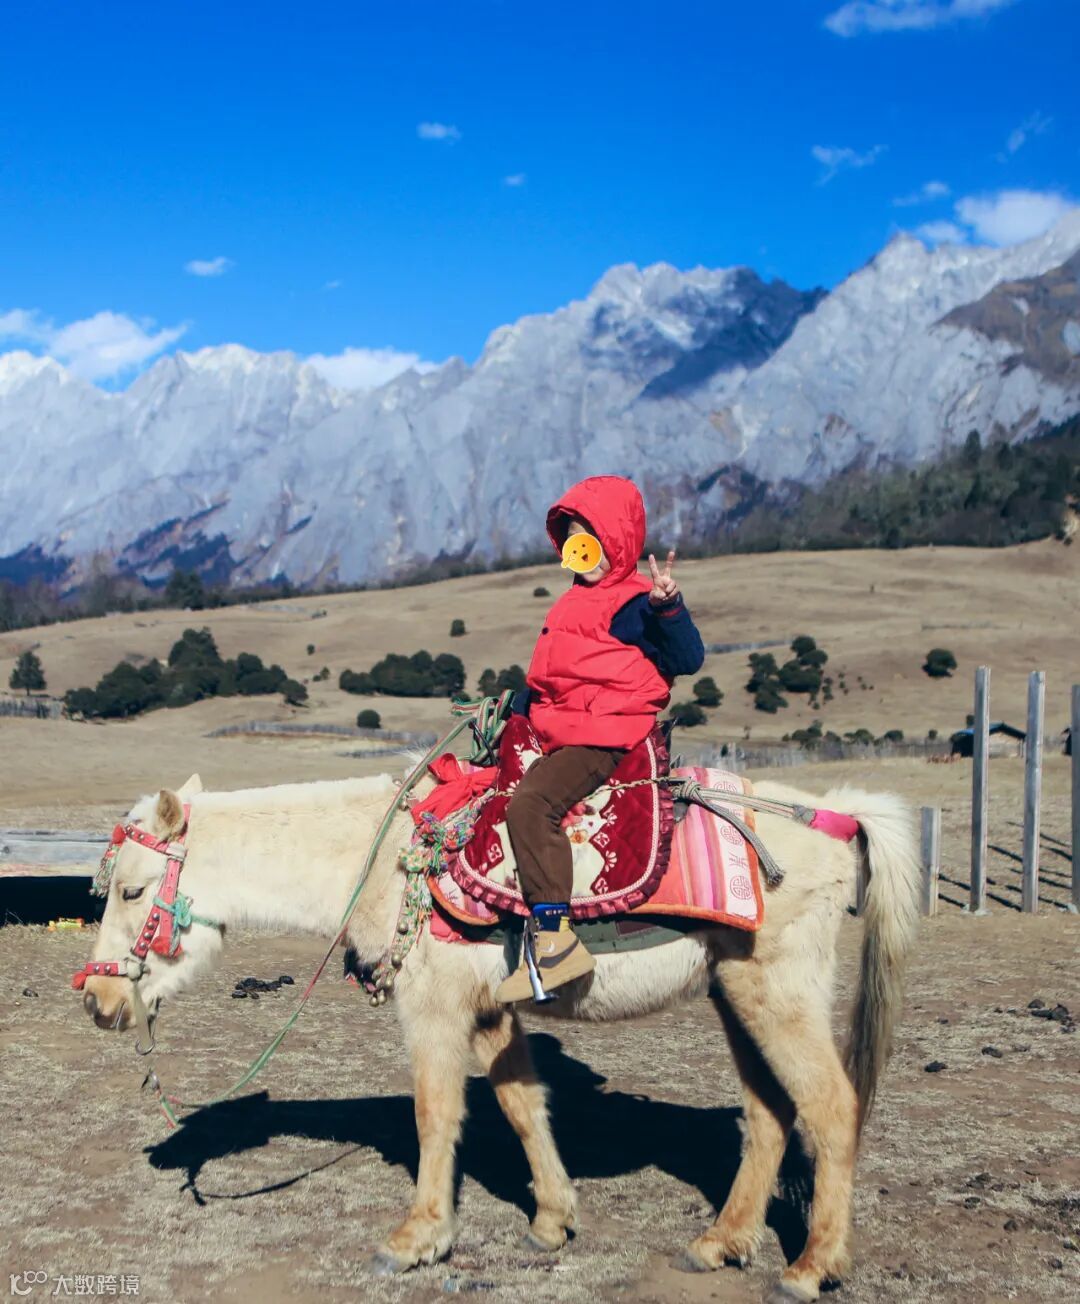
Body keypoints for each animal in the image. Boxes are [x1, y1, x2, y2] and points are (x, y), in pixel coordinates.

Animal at [77, 766, 920, 1304]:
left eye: (134, 891)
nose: (100, 1000)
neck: (384, 863)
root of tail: (837, 815)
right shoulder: (490, 1015)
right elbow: (521, 1106)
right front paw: (552, 1222)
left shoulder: (434, 1010)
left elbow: (435, 1114)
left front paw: (416, 1239)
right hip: (733, 993)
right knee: (770, 1113)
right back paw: (722, 1243)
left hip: (777, 991)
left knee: (831, 1107)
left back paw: (810, 1267)